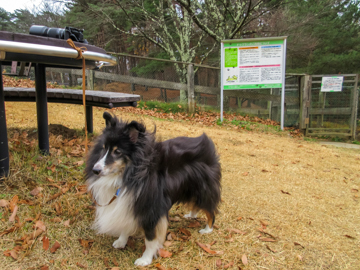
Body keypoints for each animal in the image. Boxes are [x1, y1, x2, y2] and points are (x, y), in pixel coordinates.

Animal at [86, 112, 221, 266]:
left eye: (117, 152)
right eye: (103, 148)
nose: (95, 170)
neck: (131, 173)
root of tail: (208, 144)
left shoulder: (151, 208)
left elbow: (150, 239)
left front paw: (145, 259)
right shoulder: (129, 203)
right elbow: (126, 223)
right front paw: (121, 241)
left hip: (204, 189)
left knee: (210, 210)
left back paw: (208, 229)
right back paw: (191, 215)